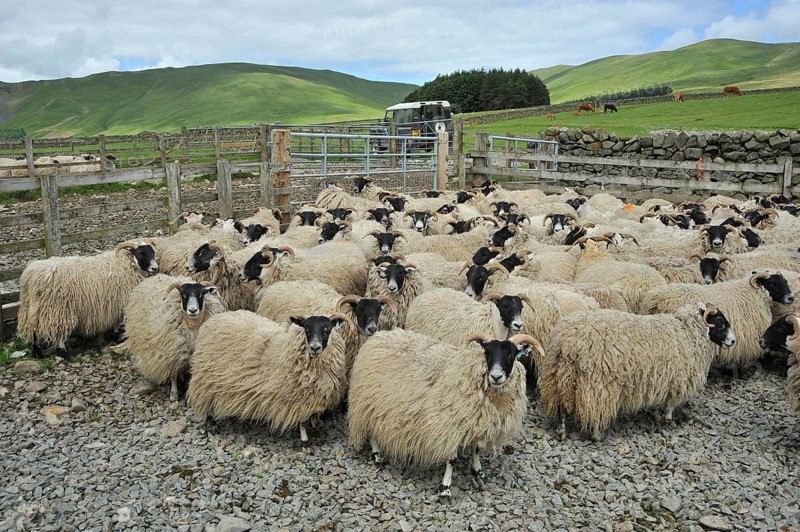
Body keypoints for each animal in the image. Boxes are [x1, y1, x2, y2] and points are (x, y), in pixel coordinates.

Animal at [17, 240, 159, 356]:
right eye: (141, 254)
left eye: (153, 253)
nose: (155, 268)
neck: (127, 264)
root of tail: (31, 276)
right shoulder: (120, 302)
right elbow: (118, 322)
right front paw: (117, 335)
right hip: (58, 311)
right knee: (58, 334)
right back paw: (63, 353)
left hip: (33, 310)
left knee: (33, 331)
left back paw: (37, 353)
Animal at [187, 310, 350, 444]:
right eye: (306, 329)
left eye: (327, 329)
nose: (315, 347)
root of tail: (214, 319)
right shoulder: (298, 400)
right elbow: (303, 422)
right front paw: (305, 441)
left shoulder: (314, 398)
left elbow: (314, 417)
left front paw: (315, 428)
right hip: (205, 380)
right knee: (205, 403)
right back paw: (210, 424)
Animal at [348, 328, 543, 497]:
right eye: (487, 353)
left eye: (511, 354)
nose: (496, 376)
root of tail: (379, 336)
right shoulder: (451, 425)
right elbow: (452, 459)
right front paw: (445, 488)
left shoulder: (475, 422)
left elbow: (476, 449)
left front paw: (478, 471)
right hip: (367, 400)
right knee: (370, 428)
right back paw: (377, 455)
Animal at [540, 302, 735, 441]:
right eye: (719, 321)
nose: (733, 341)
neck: (687, 331)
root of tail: (565, 342)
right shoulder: (678, 379)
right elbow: (671, 403)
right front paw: (667, 419)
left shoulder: (664, 380)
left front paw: (657, 415)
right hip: (597, 386)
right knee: (595, 410)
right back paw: (597, 434)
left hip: (558, 378)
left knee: (560, 407)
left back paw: (561, 432)